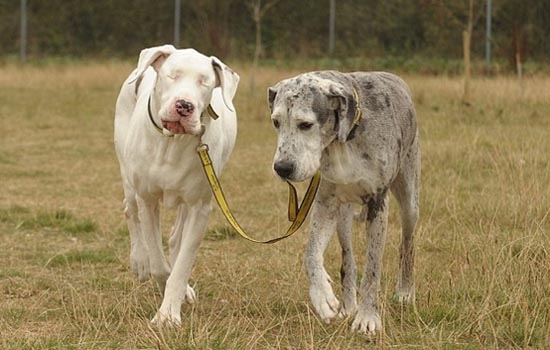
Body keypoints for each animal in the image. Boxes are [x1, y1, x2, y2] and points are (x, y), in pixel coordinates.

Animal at [114, 45, 239, 326]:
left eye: (204, 82)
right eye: (172, 75)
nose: (184, 106)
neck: (172, 142)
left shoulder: (199, 207)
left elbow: (182, 264)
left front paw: (169, 312)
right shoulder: (147, 199)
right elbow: (159, 264)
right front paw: (162, 291)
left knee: (175, 238)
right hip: (128, 174)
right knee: (130, 210)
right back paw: (139, 261)